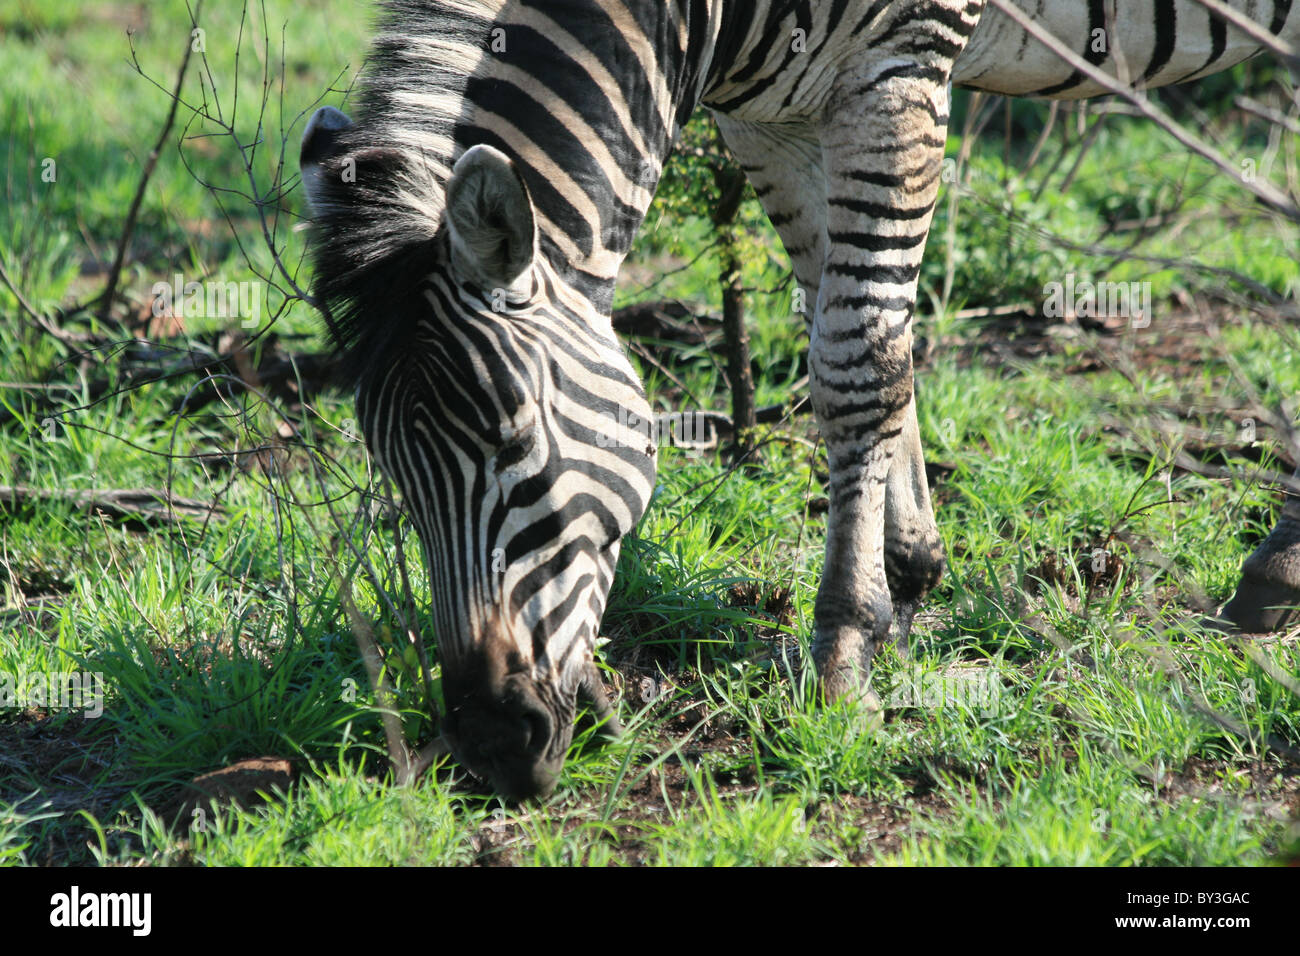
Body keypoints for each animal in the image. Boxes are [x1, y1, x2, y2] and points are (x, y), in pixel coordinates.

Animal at [301, 0, 1300, 799]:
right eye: (395, 478)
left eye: (515, 446)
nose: (491, 746)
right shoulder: (769, 117)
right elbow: (849, 320)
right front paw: (906, 573)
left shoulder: (903, 59)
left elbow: (858, 359)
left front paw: (844, 652)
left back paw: (1277, 571)